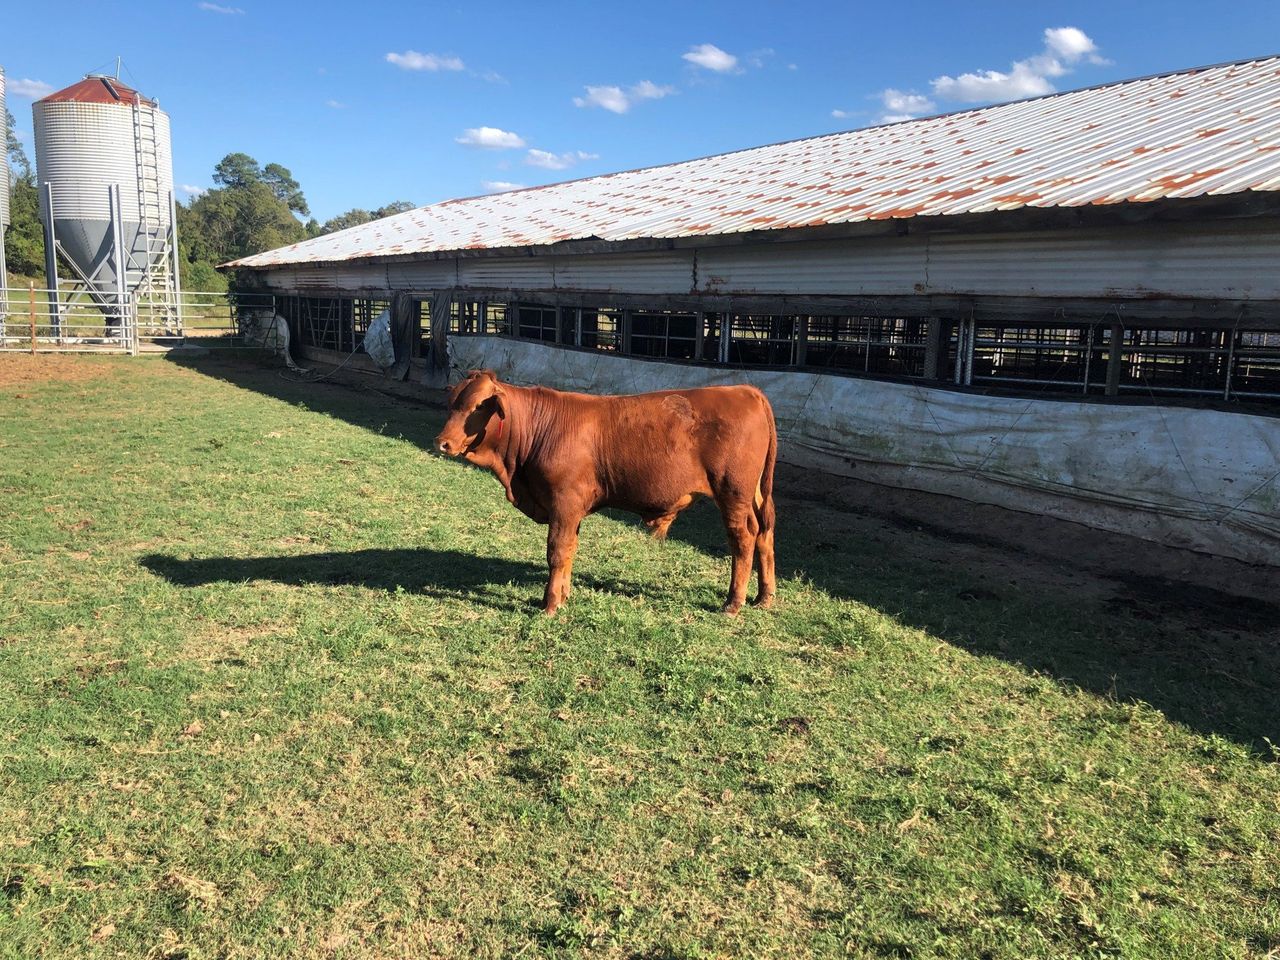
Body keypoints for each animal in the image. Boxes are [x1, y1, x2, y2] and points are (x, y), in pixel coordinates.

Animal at [434, 370, 777, 615]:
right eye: (452, 405)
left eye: (477, 407)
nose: (442, 442)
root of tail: (746, 391)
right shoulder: (572, 510)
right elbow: (570, 550)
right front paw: (563, 595)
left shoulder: (564, 502)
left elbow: (557, 551)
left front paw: (550, 605)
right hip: (755, 495)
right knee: (764, 534)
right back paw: (764, 597)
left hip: (732, 492)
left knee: (743, 539)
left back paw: (733, 603)